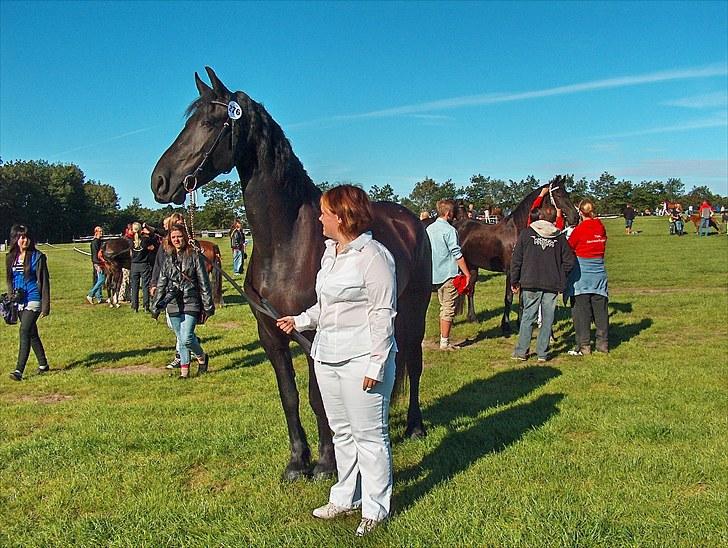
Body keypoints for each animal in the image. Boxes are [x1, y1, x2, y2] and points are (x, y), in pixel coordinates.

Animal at [149, 67, 432, 480]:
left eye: (209, 122)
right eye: (187, 122)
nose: (160, 181)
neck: (286, 243)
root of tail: (412, 220)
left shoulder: (314, 334)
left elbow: (318, 398)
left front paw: (327, 464)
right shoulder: (271, 335)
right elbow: (290, 397)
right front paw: (298, 462)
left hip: (414, 310)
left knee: (413, 360)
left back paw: (414, 426)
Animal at [458, 180, 576, 334]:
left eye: (566, 193)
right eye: (558, 194)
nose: (576, 217)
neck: (517, 232)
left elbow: (522, 299)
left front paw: (520, 324)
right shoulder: (510, 272)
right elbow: (508, 298)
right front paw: (506, 326)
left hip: (472, 267)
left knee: (470, 289)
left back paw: (472, 318)